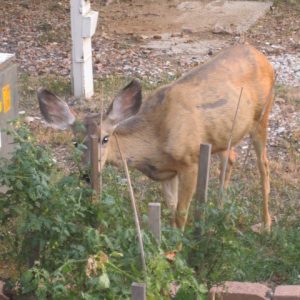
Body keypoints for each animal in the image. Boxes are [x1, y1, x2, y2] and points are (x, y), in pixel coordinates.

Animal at [37, 44, 274, 231]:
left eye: (105, 138)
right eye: (75, 142)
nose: (87, 174)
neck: (155, 143)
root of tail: (261, 56)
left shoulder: (190, 161)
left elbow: (180, 214)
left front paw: (178, 250)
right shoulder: (167, 173)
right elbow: (170, 210)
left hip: (262, 116)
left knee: (263, 164)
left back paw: (266, 224)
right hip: (224, 133)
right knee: (231, 158)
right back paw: (217, 211)